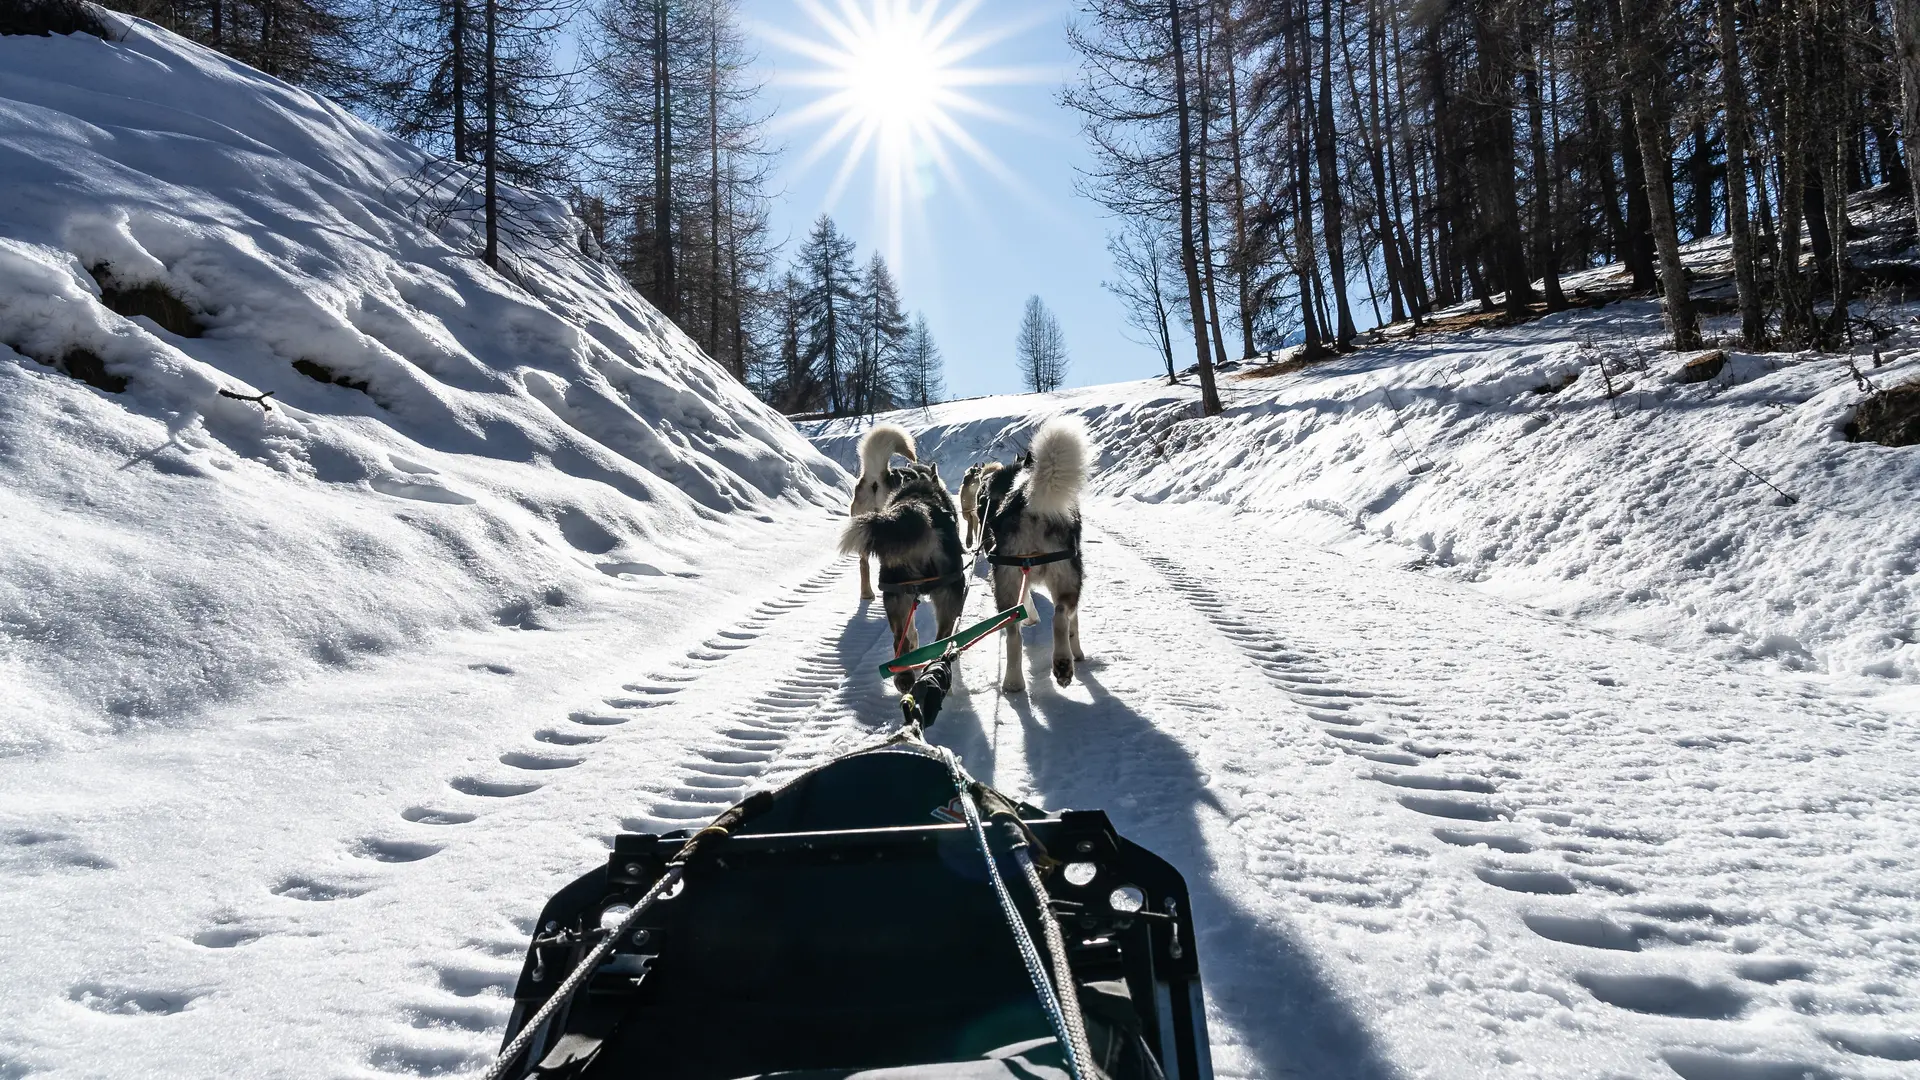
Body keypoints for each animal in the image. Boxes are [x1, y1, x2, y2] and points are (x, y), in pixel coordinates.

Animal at [840, 463, 967, 687]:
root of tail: (918, 508)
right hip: (950, 590)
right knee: (941, 638)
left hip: (894, 593)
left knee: (900, 639)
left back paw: (905, 676)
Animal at [983, 411, 1090, 687]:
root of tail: (1028, 502)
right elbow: (1075, 626)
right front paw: (1078, 653)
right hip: (1069, 578)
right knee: (1061, 617)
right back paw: (1064, 662)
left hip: (1008, 583)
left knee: (1014, 635)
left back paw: (1014, 683)